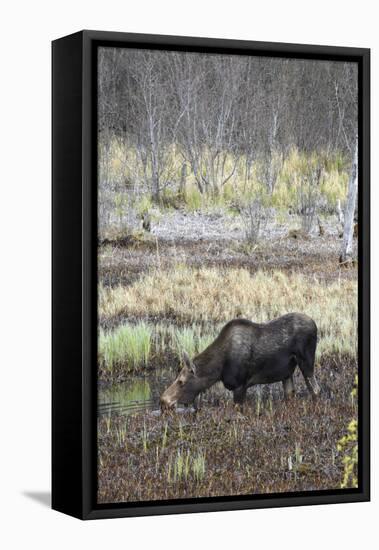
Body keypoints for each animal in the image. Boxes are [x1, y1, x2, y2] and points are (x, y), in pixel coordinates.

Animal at [160, 312, 320, 412]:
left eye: (181, 381)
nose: (163, 401)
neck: (218, 370)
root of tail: (315, 325)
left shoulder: (240, 385)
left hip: (306, 361)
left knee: (316, 389)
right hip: (287, 373)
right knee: (290, 393)